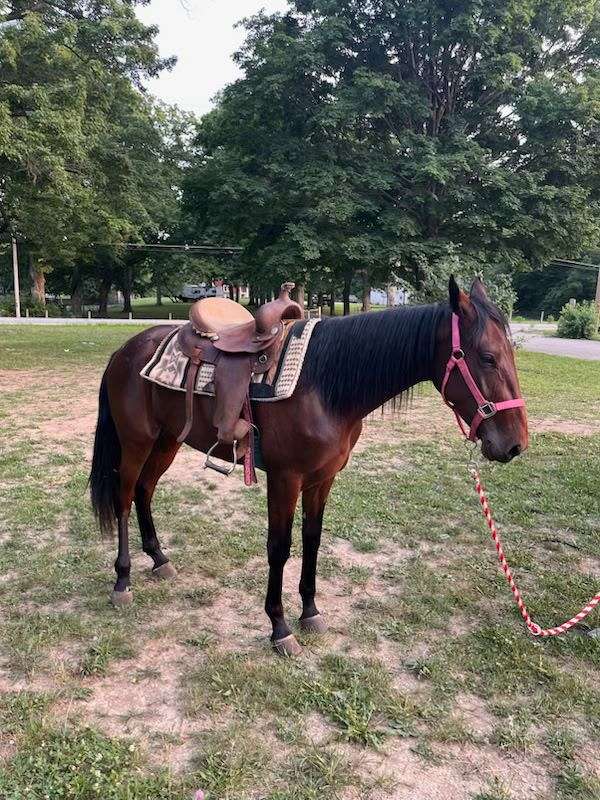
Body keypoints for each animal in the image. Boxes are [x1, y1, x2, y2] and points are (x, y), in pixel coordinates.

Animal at [89, 276, 528, 656]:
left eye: (510, 353)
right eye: (488, 357)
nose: (514, 444)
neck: (325, 385)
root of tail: (124, 351)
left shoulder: (322, 479)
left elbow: (312, 540)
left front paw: (310, 613)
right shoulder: (285, 479)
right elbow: (279, 547)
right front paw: (279, 627)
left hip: (167, 442)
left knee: (145, 491)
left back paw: (159, 560)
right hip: (137, 442)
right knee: (125, 497)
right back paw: (123, 580)